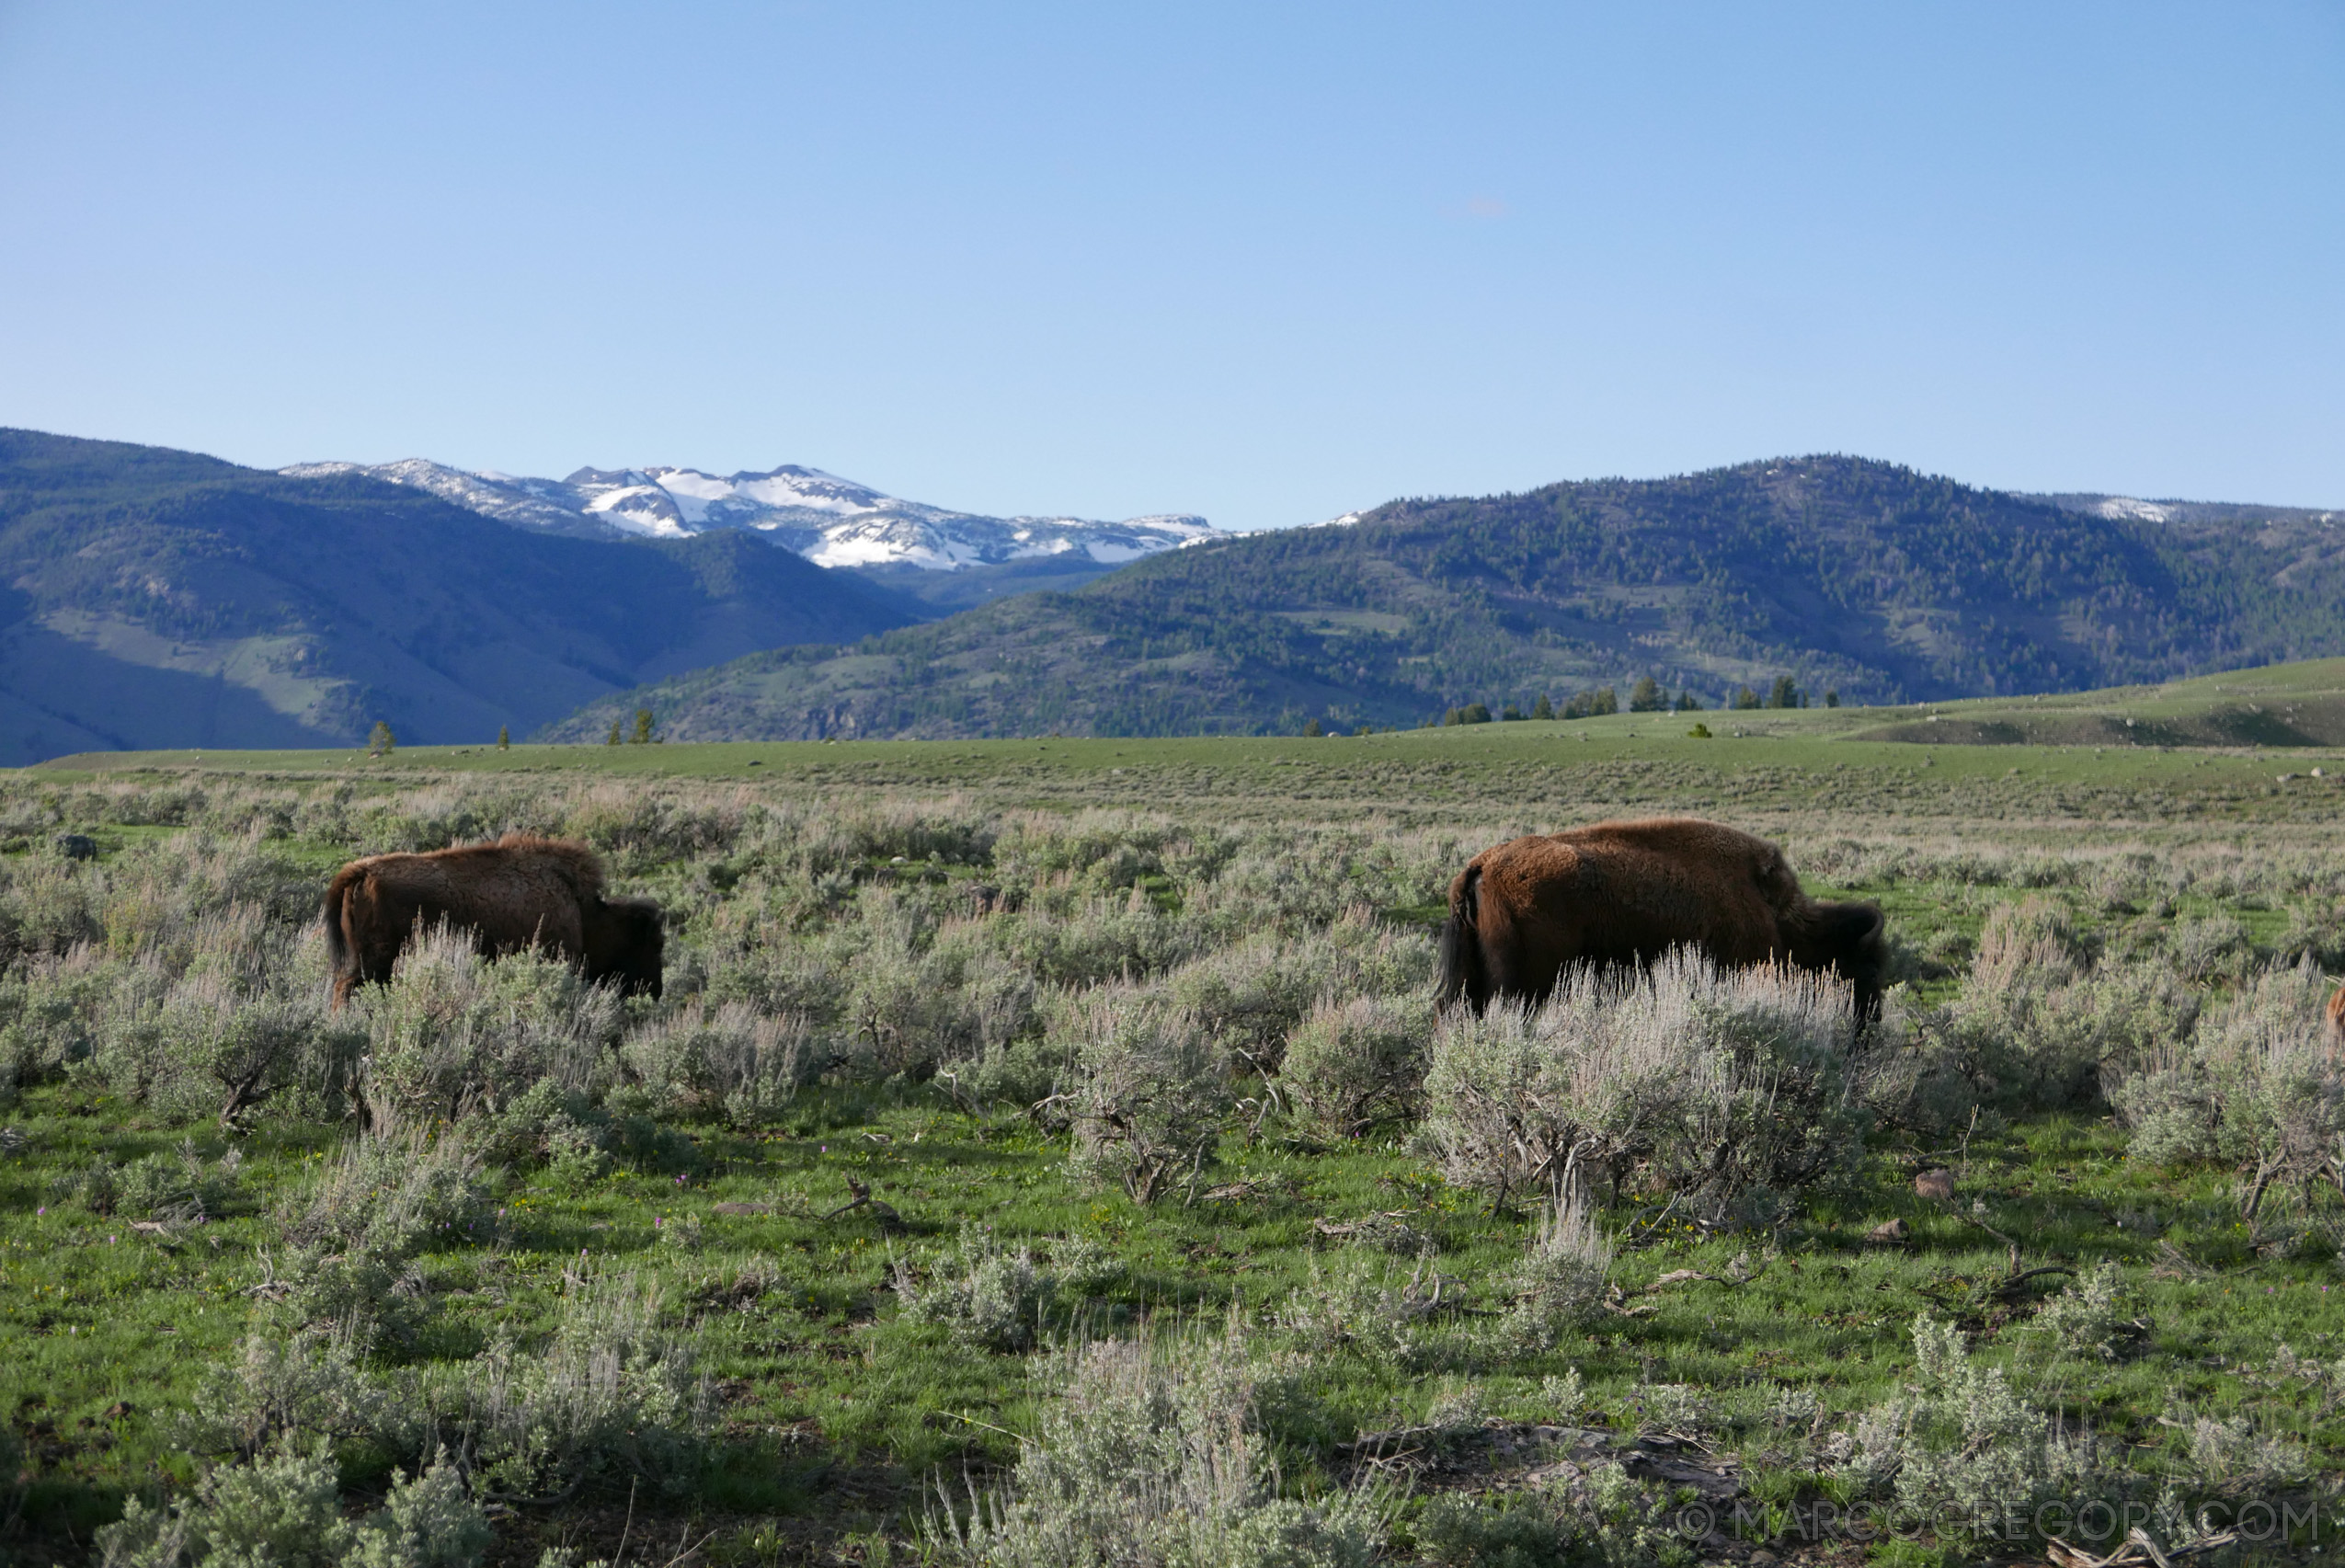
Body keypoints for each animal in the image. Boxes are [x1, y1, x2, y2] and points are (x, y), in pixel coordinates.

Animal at [316, 830, 666, 1002]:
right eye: (656, 944)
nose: (656, 991)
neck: (584, 913)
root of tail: (360, 871)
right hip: (373, 964)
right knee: (346, 988)